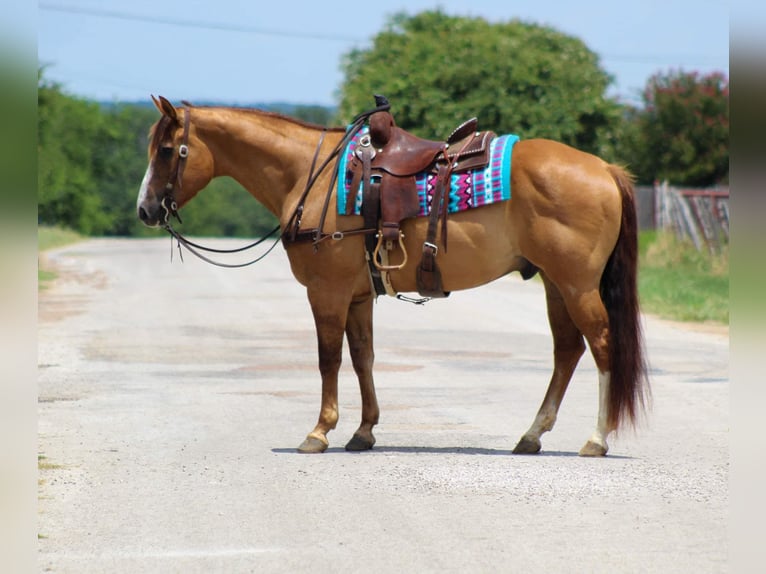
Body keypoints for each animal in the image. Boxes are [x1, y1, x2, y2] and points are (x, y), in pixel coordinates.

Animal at [136, 95, 649, 456]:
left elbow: (328, 360)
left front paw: (319, 431)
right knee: (567, 351)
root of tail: (605, 168)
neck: (311, 176)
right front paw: (363, 431)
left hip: (576, 286)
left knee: (601, 346)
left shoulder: (327, 292)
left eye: (167, 150)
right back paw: (531, 435)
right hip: (555, 285)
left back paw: (596, 439)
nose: (145, 210)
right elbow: (363, 357)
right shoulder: (359, 296)